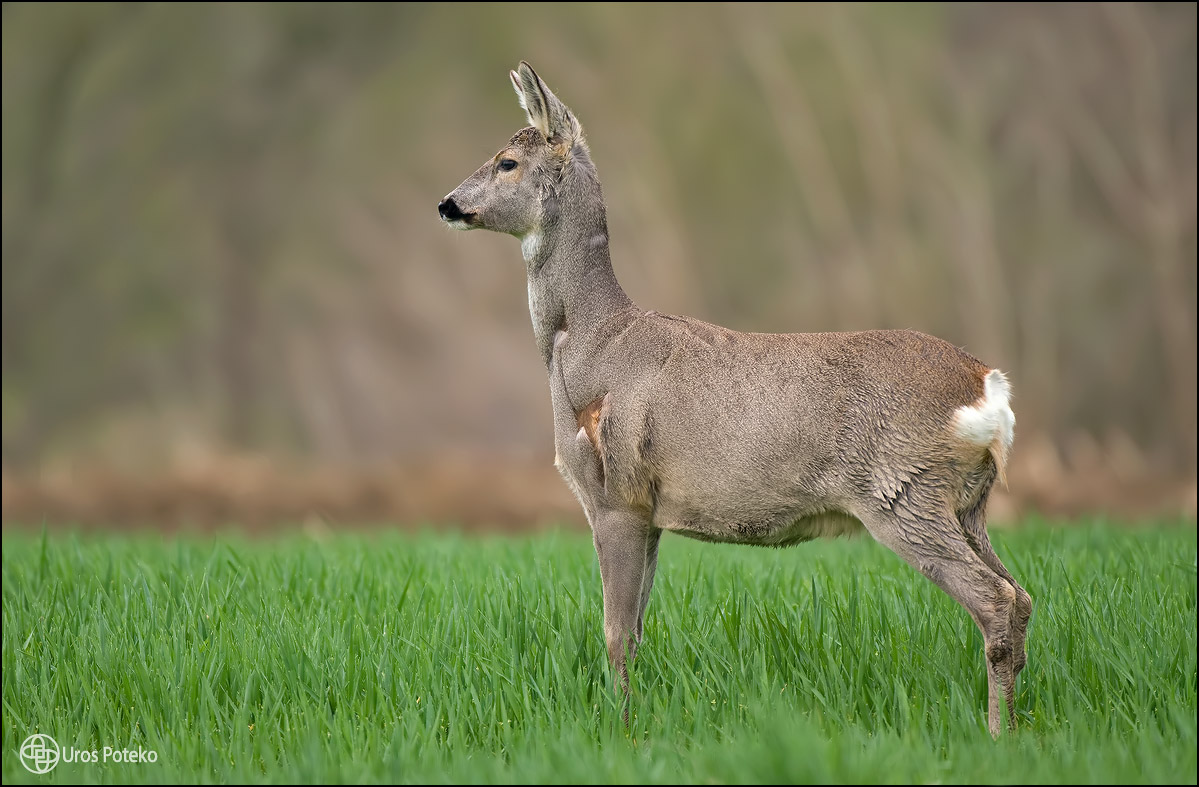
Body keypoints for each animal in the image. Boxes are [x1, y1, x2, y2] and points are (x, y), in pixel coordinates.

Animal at [441, 61, 1031, 739]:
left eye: (507, 161)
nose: (448, 203)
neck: (589, 345)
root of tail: (987, 386)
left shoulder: (614, 494)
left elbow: (616, 635)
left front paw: (621, 728)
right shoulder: (650, 513)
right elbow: (636, 629)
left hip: (903, 491)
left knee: (995, 600)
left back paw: (996, 733)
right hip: (969, 504)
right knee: (1022, 596)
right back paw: (1019, 725)